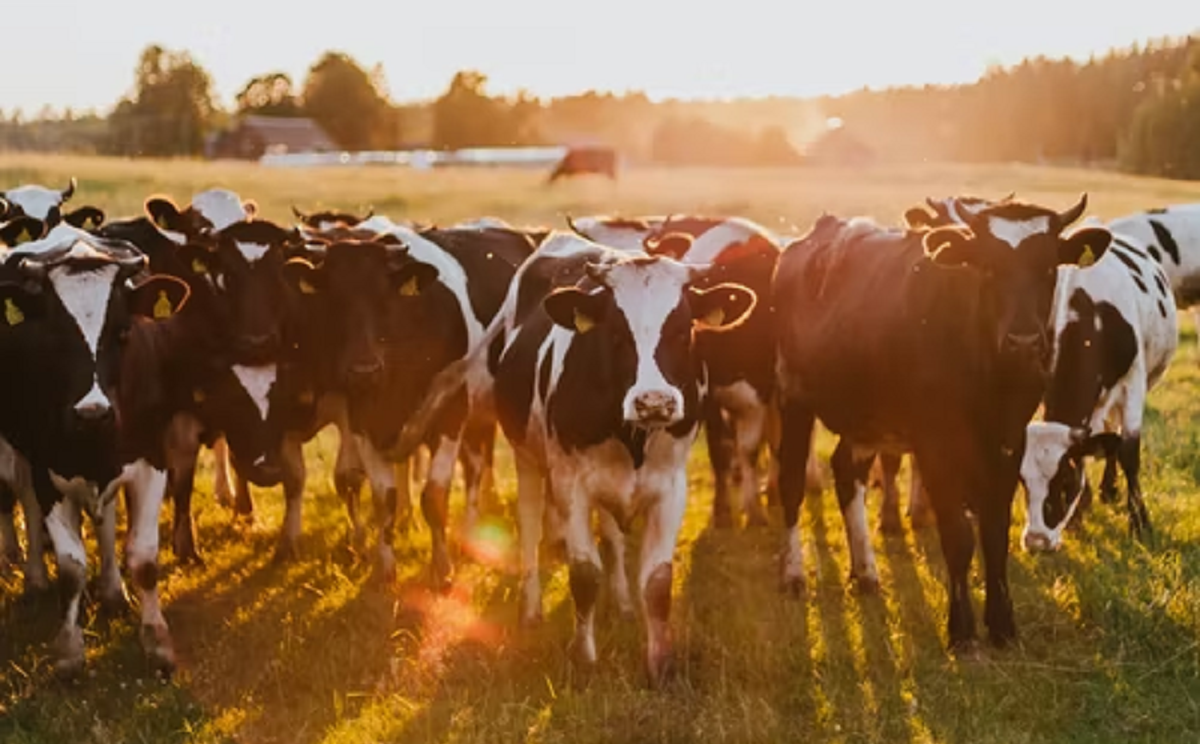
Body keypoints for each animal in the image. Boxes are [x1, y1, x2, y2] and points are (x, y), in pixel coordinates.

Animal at [772, 194, 1108, 648]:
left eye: (1049, 268)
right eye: (988, 267)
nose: (1022, 341)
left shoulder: (1008, 439)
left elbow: (995, 531)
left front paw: (1002, 624)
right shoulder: (935, 443)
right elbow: (958, 535)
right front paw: (962, 628)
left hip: (866, 417)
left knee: (846, 473)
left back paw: (865, 571)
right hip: (793, 396)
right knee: (791, 481)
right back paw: (793, 573)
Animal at [1017, 226, 1176, 552]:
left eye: (1065, 482)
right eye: (1023, 483)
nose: (1037, 541)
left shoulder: (1134, 382)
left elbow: (1128, 450)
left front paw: (1140, 522)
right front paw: (1079, 514)